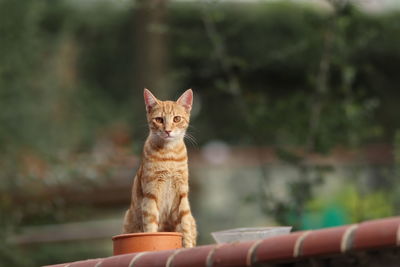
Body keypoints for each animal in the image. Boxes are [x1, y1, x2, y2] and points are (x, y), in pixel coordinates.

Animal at [122, 89, 197, 248]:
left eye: (176, 119)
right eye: (159, 120)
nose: (168, 131)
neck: (169, 156)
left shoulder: (182, 194)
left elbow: (185, 226)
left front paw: (188, 247)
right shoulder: (151, 194)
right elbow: (151, 226)